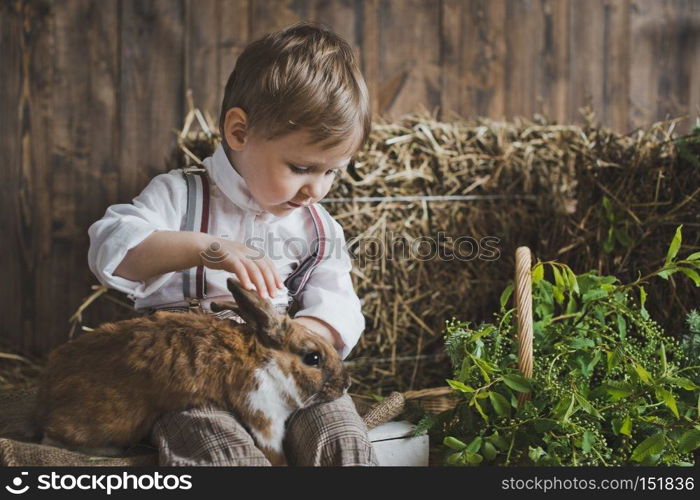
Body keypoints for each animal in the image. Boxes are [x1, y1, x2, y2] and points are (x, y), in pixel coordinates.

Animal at [33, 278, 350, 464]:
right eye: (313, 357)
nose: (345, 385)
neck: (264, 357)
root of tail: (47, 389)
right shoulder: (264, 417)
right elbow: (273, 449)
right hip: (112, 421)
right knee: (54, 436)